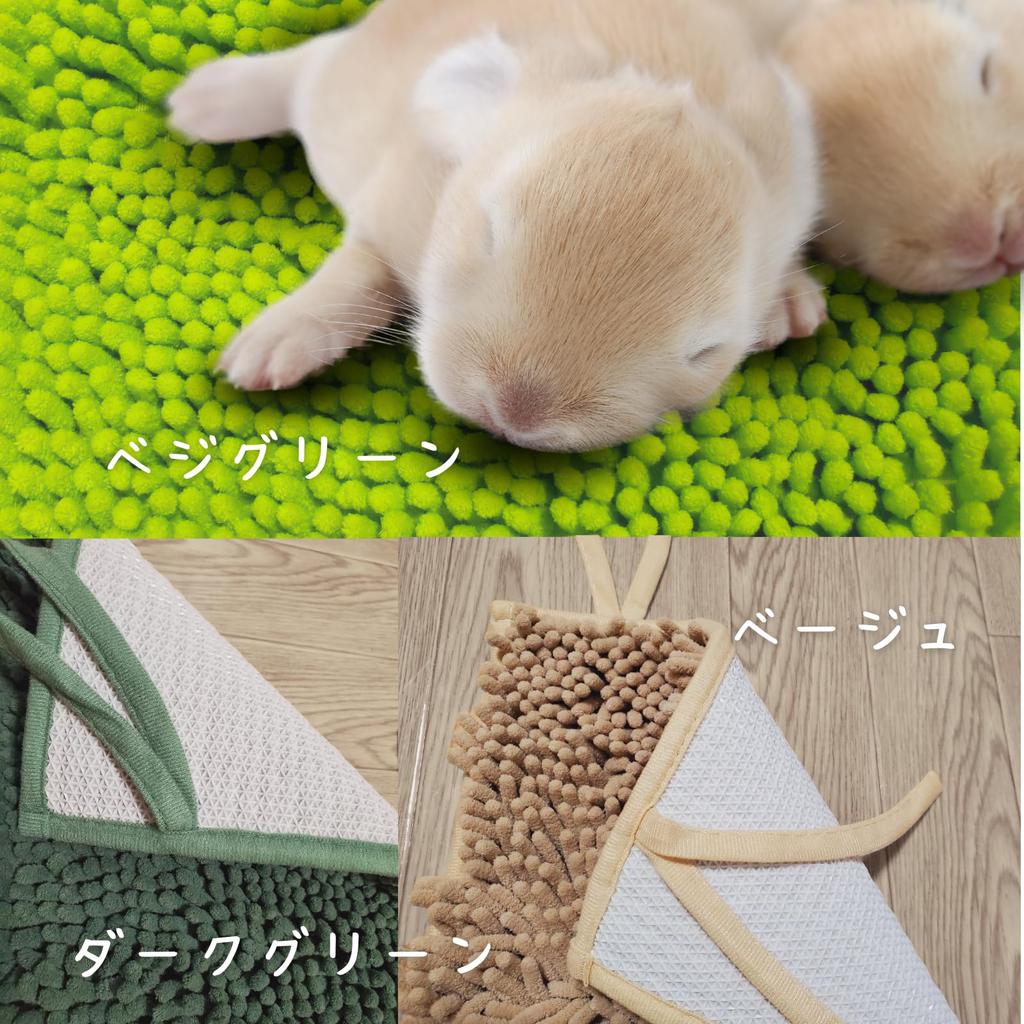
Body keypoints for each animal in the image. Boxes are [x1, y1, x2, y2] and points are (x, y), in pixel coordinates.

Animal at [167, 0, 822, 451]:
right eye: (487, 233)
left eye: (706, 351)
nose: (516, 415)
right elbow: (355, 276)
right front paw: (262, 354)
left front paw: (791, 303)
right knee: (305, 65)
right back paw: (201, 102)